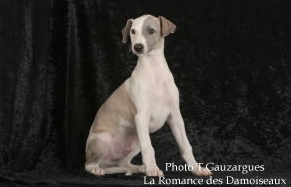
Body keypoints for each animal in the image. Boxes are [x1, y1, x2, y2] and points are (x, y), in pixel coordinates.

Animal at [84, 14, 212, 177]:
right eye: (132, 31)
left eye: (151, 30)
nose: (137, 47)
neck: (155, 72)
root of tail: (106, 162)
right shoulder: (141, 116)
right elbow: (149, 147)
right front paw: (152, 169)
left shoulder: (175, 116)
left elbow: (185, 145)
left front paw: (196, 168)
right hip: (104, 139)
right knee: (89, 165)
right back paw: (97, 170)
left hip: (135, 142)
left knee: (121, 163)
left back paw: (137, 168)